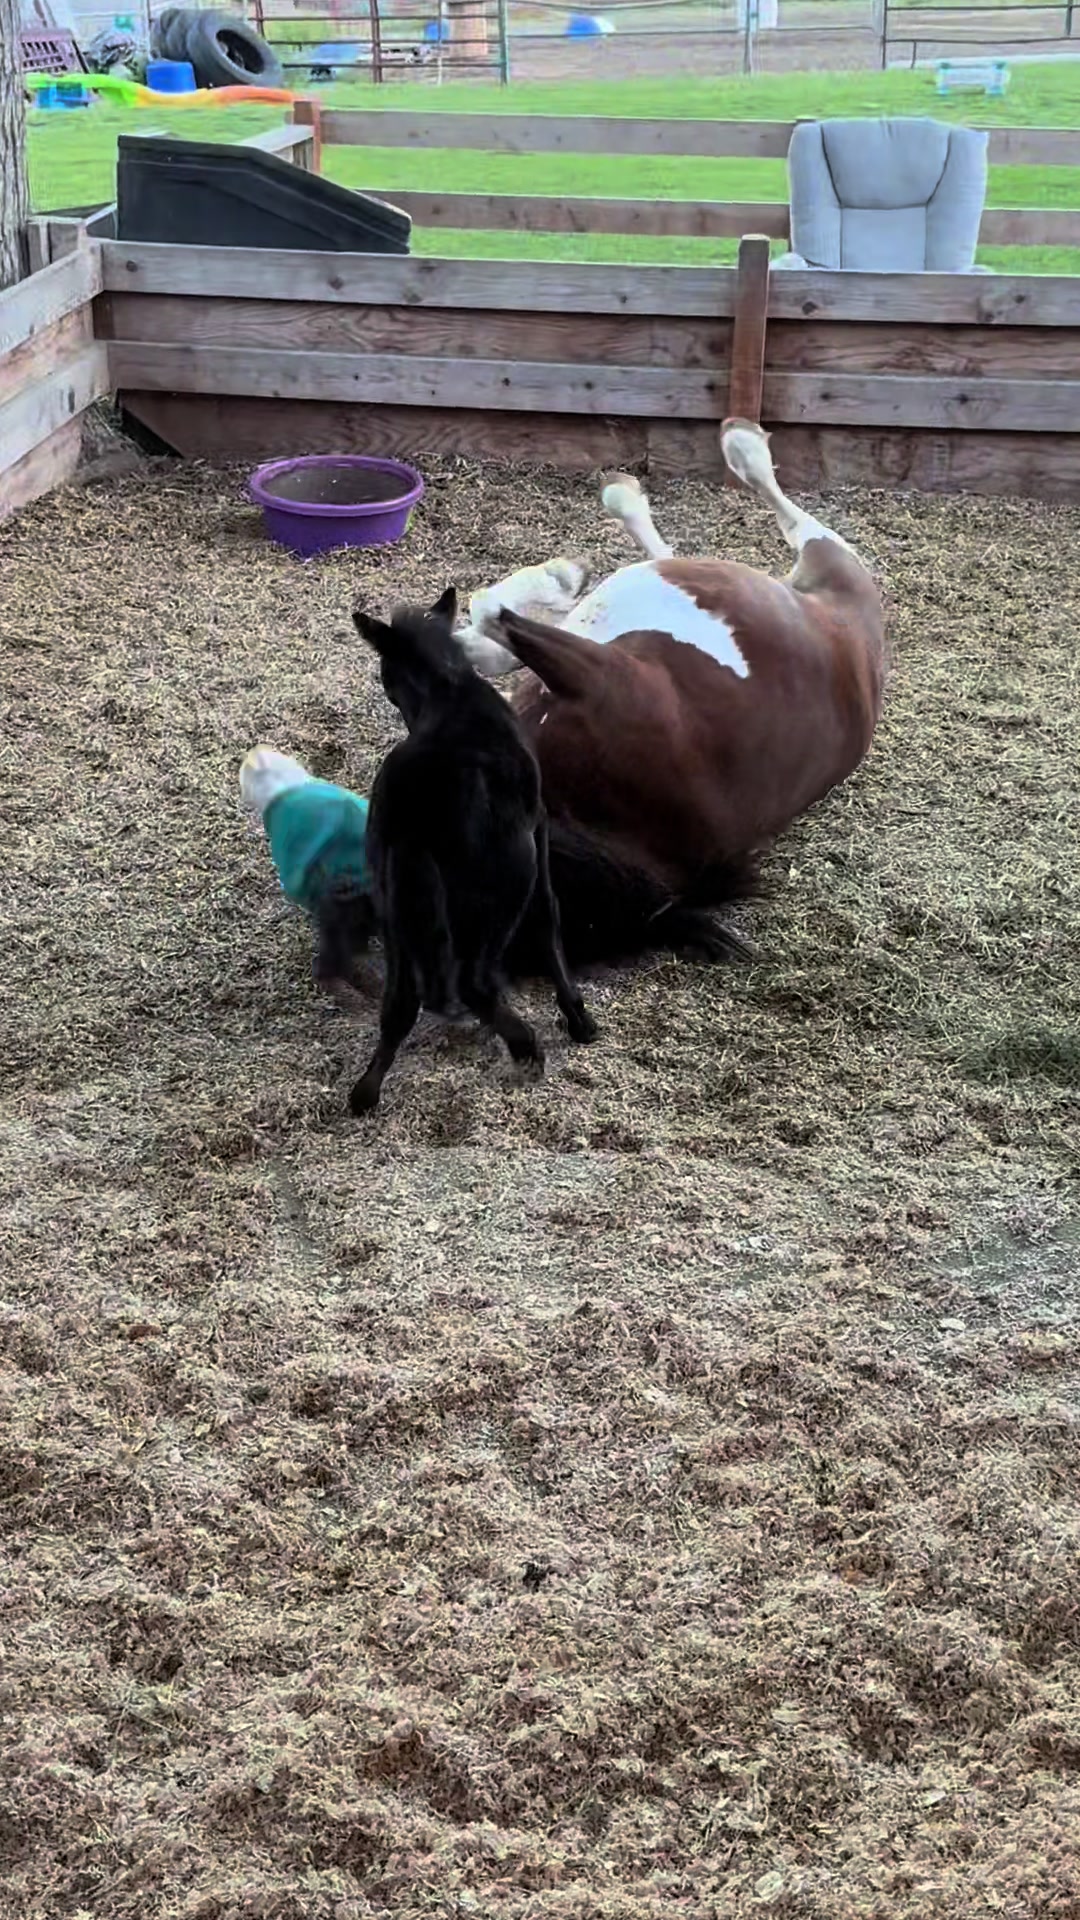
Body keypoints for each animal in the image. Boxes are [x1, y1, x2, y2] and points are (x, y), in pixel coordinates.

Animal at [349, 588, 596, 1112]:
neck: (452, 691)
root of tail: (416, 810)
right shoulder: (538, 827)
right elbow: (548, 916)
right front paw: (578, 1019)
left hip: (394, 897)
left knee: (401, 1000)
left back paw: (365, 1093)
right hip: (498, 889)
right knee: (473, 980)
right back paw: (525, 1046)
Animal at [454, 418, 887, 972]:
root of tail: (862, 640)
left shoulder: (596, 672)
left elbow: (489, 611)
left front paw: (555, 581)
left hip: (830, 562)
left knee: (790, 521)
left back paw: (724, 451)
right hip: (822, 571)